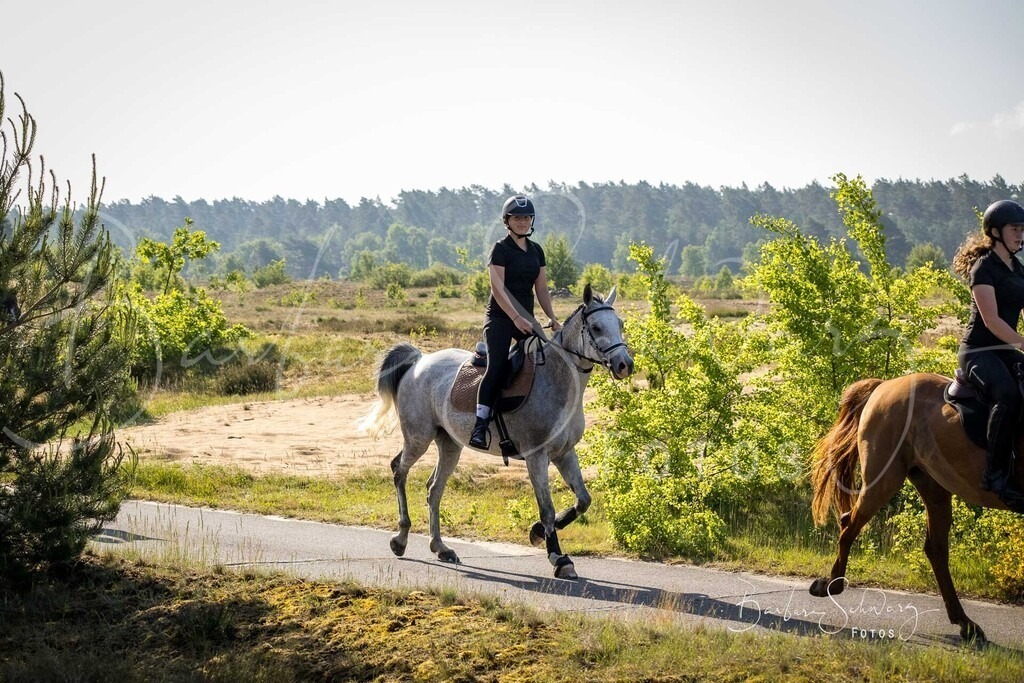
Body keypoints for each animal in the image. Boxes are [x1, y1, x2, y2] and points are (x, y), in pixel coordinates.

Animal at [359, 284, 634, 579]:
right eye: (595, 327)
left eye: (620, 324)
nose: (625, 364)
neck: (559, 381)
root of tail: (419, 361)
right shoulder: (537, 457)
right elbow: (547, 509)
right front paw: (559, 558)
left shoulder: (564, 453)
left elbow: (583, 500)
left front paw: (537, 532)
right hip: (418, 437)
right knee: (399, 470)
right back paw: (400, 539)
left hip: (450, 444)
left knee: (434, 489)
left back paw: (441, 547)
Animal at [809, 372, 1024, 644]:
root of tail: (884, 385)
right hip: (884, 479)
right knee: (850, 525)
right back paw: (830, 585)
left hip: (933, 487)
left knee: (936, 549)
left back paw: (966, 624)